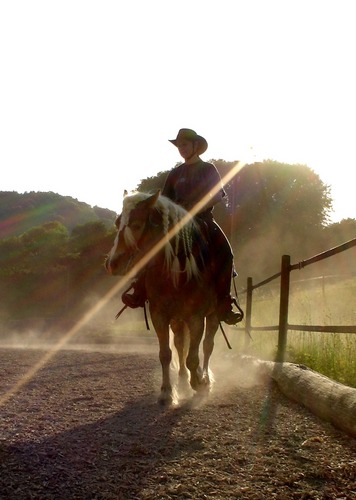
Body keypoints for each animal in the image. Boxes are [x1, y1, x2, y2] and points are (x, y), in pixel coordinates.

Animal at [105, 189, 221, 404]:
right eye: (117, 223)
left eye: (136, 225)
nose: (112, 263)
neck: (176, 273)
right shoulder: (159, 314)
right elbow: (166, 354)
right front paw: (167, 392)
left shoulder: (196, 317)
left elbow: (194, 357)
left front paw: (199, 383)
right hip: (177, 320)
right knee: (180, 345)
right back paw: (183, 381)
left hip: (213, 315)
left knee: (207, 345)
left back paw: (205, 379)